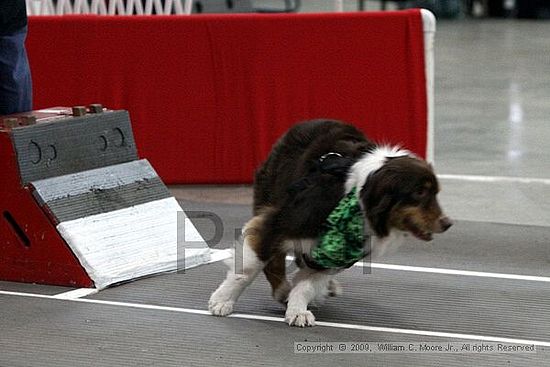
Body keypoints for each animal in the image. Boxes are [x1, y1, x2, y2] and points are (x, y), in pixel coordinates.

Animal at [209, 120, 450, 328]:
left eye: (436, 192)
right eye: (419, 192)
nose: (447, 223)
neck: (356, 195)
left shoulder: (336, 251)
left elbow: (307, 284)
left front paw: (298, 310)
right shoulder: (278, 222)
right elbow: (249, 268)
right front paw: (222, 300)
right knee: (274, 261)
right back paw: (282, 290)